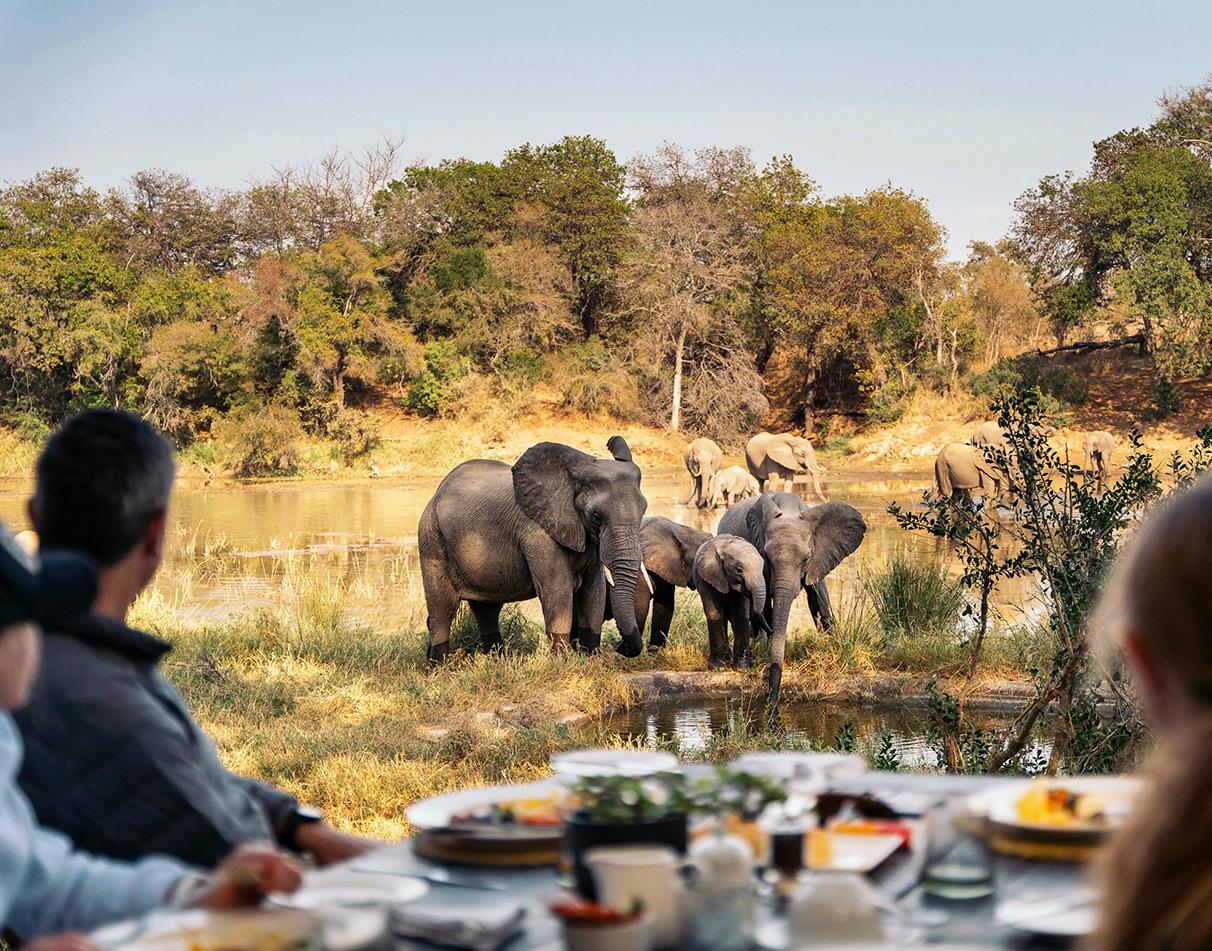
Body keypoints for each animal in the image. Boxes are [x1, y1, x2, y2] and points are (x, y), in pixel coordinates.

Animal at [419, 437, 648, 664]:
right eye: (597, 517)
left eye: (644, 511)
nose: (619, 646)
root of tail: (436, 494)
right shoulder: (538, 532)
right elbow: (558, 589)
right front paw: (562, 662)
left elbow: (594, 590)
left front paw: (592, 659)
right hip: (431, 537)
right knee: (443, 609)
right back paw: (438, 668)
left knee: (487, 609)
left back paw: (497, 661)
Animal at [692, 534, 772, 669]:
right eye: (739, 570)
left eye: (762, 568)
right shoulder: (707, 578)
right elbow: (714, 614)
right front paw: (718, 668)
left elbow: (741, 615)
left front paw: (742, 668)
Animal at [718, 494, 866, 711]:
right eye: (766, 557)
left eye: (805, 559)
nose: (771, 704)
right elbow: (767, 603)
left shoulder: (820, 556)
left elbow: (818, 598)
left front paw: (831, 642)